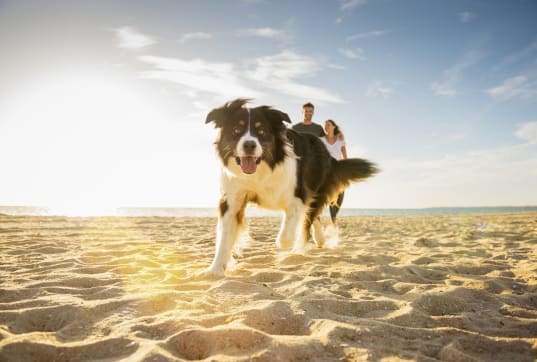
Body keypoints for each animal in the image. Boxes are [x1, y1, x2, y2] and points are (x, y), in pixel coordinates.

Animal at [205, 98, 376, 274]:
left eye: (261, 131)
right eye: (236, 130)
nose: (249, 145)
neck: (261, 171)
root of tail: (328, 154)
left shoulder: (298, 195)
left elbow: (287, 235)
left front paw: (288, 246)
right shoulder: (232, 199)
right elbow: (224, 237)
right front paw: (215, 269)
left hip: (316, 188)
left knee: (309, 217)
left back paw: (303, 246)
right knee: (313, 217)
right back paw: (318, 240)